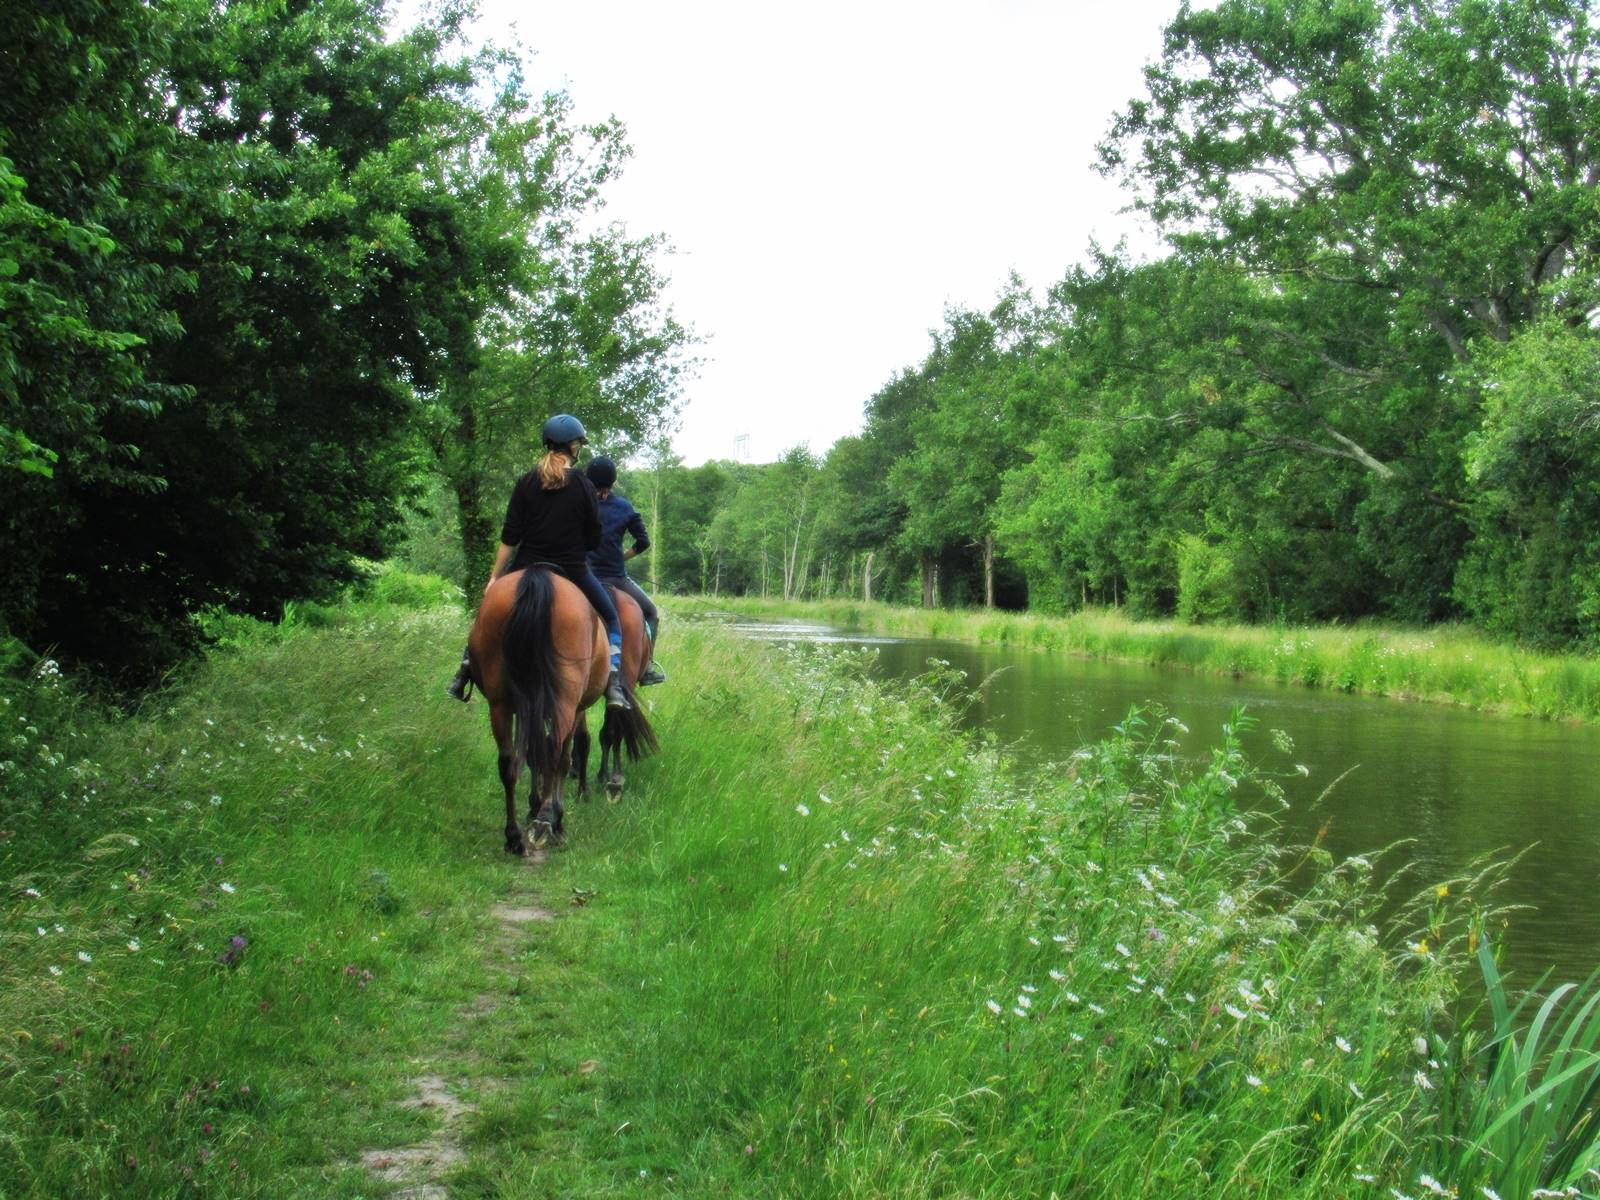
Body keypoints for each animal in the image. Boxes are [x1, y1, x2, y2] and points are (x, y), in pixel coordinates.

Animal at [467, 566, 656, 857]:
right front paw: (559, 809)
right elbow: (574, 749)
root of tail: (539, 577)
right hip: (573, 697)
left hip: (501, 703)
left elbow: (535, 752)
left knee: (511, 761)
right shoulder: (574, 706)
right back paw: (555, 818)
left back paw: (515, 837)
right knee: (570, 746)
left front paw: (536, 805)